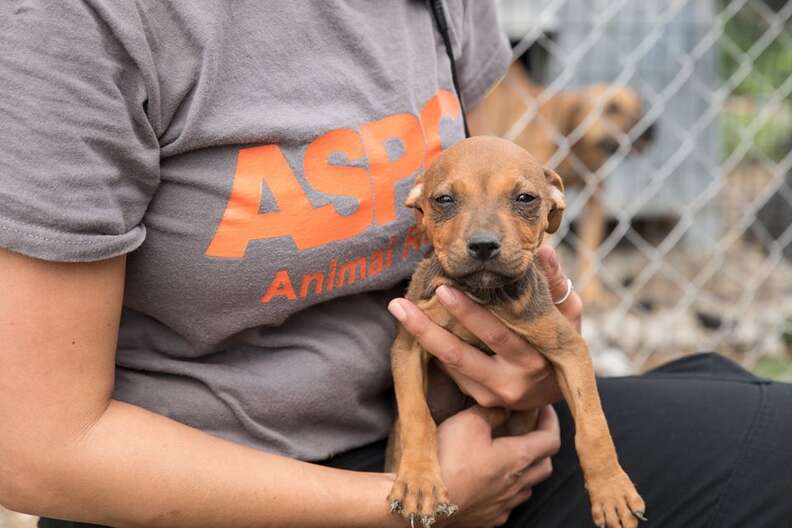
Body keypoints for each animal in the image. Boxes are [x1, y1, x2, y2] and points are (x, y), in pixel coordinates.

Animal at [386, 137, 648, 528]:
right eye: (443, 199)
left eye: (525, 198)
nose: (483, 245)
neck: (483, 295)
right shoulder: (407, 344)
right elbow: (418, 416)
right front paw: (419, 483)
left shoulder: (570, 349)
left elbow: (593, 425)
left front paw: (612, 491)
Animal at [480, 63, 652, 306]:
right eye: (612, 108)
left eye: (640, 107)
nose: (652, 129)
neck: (576, 145)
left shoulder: (593, 195)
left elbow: (590, 247)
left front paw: (591, 293)